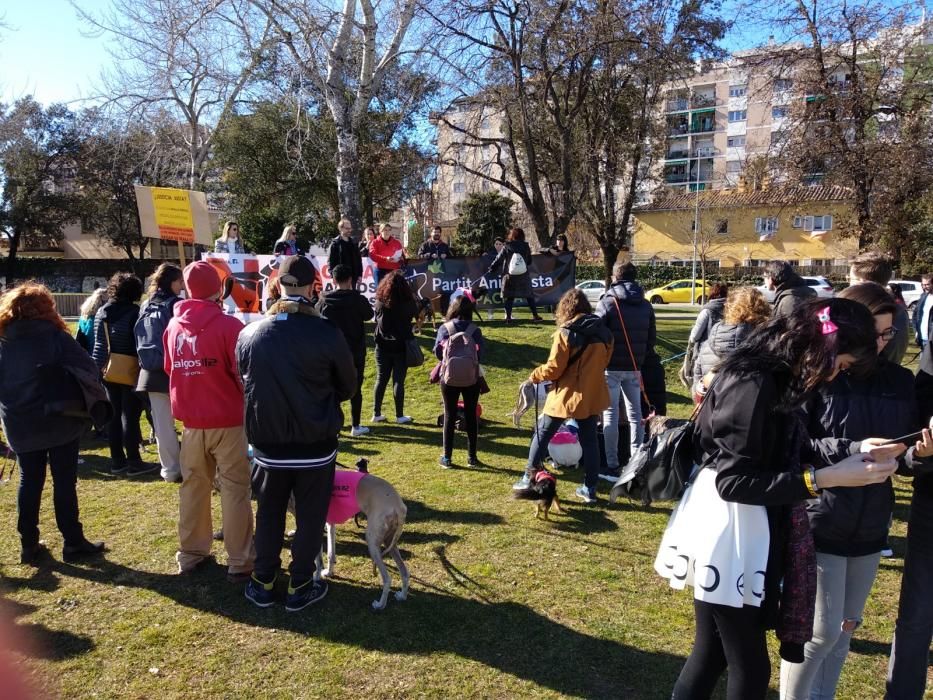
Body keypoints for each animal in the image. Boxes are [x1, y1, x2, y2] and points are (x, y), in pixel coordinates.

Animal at [314, 460, 408, 608]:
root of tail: (399, 506)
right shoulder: (330, 523)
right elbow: (331, 553)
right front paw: (329, 572)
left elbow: (325, 555)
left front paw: (323, 573)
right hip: (390, 541)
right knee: (404, 572)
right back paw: (402, 596)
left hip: (372, 541)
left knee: (387, 578)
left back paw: (380, 605)